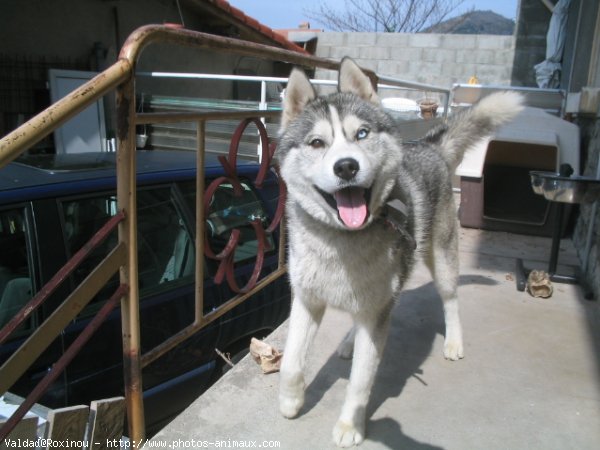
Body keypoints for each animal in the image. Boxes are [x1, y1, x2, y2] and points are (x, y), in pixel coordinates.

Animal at [276, 59, 520, 446]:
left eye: (361, 134)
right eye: (317, 142)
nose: (346, 166)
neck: (341, 240)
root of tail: (430, 147)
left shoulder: (376, 312)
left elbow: (360, 381)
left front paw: (350, 426)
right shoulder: (306, 299)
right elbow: (290, 363)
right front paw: (290, 401)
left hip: (442, 260)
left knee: (450, 300)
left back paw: (453, 341)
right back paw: (349, 341)